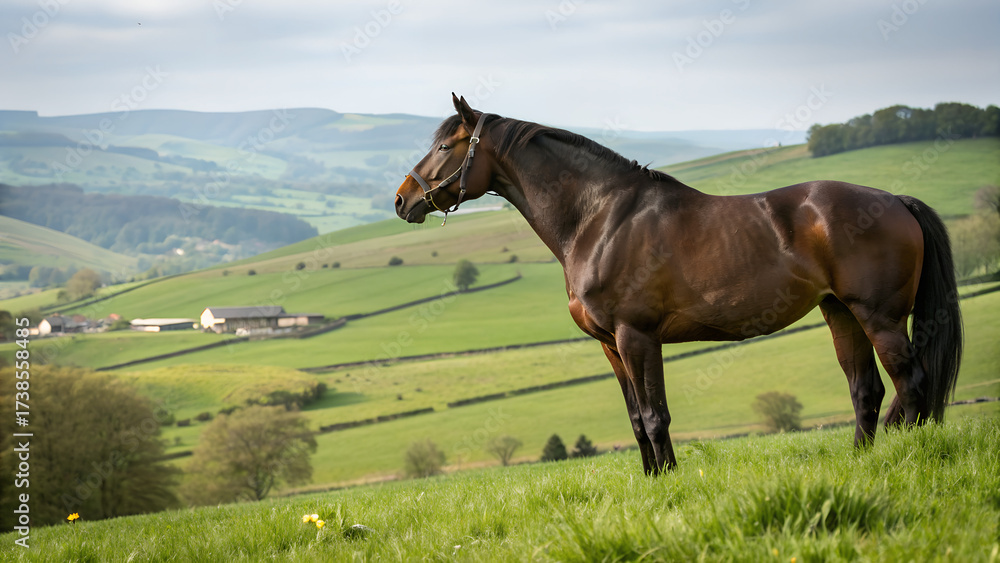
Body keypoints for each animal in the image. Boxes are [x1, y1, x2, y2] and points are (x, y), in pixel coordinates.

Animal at [394, 94, 963, 474]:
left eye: (445, 145)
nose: (403, 200)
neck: (600, 218)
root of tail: (895, 200)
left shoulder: (637, 336)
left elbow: (654, 415)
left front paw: (668, 481)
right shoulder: (610, 346)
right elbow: (635, 418)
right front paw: (652, 480)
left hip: (879, 317)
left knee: (911, 383)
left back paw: (913, 458)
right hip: (839, 312)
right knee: (866, 390)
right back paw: (860, 463)